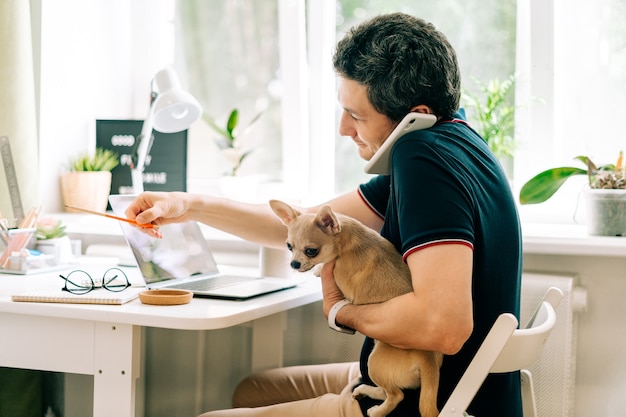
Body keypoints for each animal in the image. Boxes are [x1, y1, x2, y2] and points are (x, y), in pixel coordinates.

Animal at [270, 200, 442, 416]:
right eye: (289, 246)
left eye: (311, 251)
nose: (293, 263)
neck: (346, 239)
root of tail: (428, 358)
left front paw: (318, 269)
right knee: (387, 391)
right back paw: (366, 390)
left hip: (374, 362)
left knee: (396, 395)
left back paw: (377, 411)